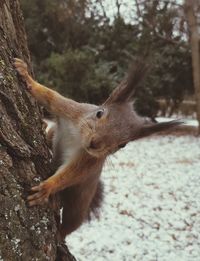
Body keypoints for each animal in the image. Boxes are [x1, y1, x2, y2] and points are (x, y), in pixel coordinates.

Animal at [13, 57, 180, 238]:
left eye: (123, 144)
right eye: (99, 113)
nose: (95, 143)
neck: (79, 138)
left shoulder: (89, 160)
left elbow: (70, 174)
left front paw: (47, 187)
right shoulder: (73, 110)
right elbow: (50, 97)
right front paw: (26, 74)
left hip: (78, 204)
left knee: (72, 223)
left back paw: (62, 233)